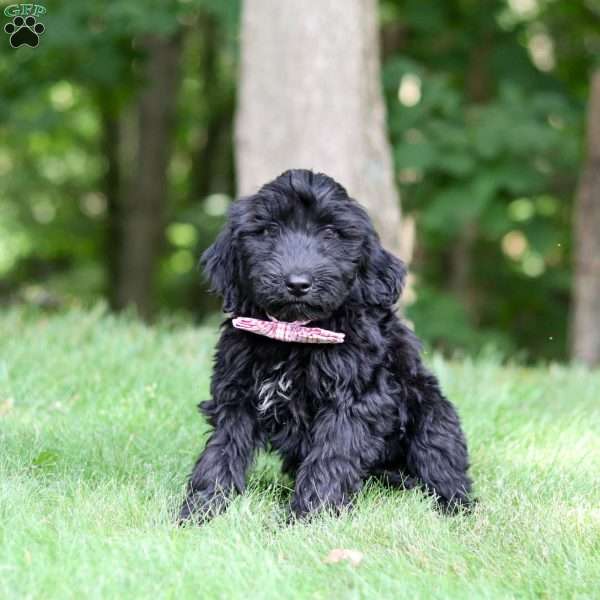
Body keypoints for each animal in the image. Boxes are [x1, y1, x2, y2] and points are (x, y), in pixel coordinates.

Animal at [180, 169, 472, 520]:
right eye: (270, 230)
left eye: (330, 233)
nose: (297, 283)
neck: (290, 335)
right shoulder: (236, 394)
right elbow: (222, 450)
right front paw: (200, 509)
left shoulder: (352, 401)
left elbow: (331, 457)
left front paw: (309, 517)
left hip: (432, 412)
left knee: (440, 459)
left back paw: (453, 504)